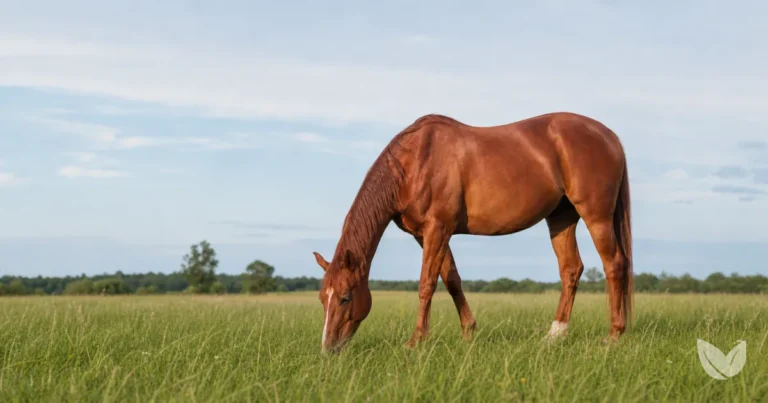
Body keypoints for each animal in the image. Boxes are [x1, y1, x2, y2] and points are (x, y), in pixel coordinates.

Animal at [312, 111, 633, 353]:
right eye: (322, 298)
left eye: (345, 297)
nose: (328, 349)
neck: (415, 162)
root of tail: (610, 136)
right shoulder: (428, 234)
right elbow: (452, 279)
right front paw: (469, 333)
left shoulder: (437, 228)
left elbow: (427, 283)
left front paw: (415, 341)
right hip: (561, 218)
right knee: (571, 270)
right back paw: (554, 335)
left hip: (596, 215)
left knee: (614, 264)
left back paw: (614, 335)